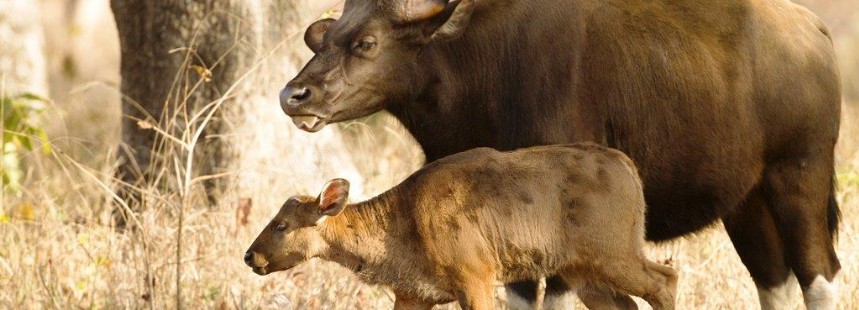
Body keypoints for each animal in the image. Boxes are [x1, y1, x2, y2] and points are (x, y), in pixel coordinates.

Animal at [244, 144, 680, 308]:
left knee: (666, 278)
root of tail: (628, 167)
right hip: (582, 269)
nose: (250, 255)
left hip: (614, 251)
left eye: (281, 224)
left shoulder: (475, 275)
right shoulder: (413, 294)